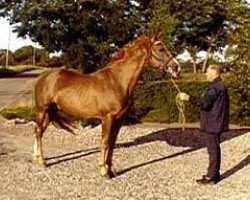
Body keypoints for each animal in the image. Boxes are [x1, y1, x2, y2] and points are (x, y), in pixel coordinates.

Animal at [33, 35, 180, 178]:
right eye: (160, 49)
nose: (176, 67)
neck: (117, 81)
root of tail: (42, 77)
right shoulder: (107, 118)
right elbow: (104, 142)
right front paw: (103, 171)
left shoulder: (119, 119)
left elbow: (112, 143)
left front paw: (111, 170)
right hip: (42, 110)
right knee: (38, 132)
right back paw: (41, 161)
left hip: (50, 112)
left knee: (38, 131)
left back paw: (35, 158)